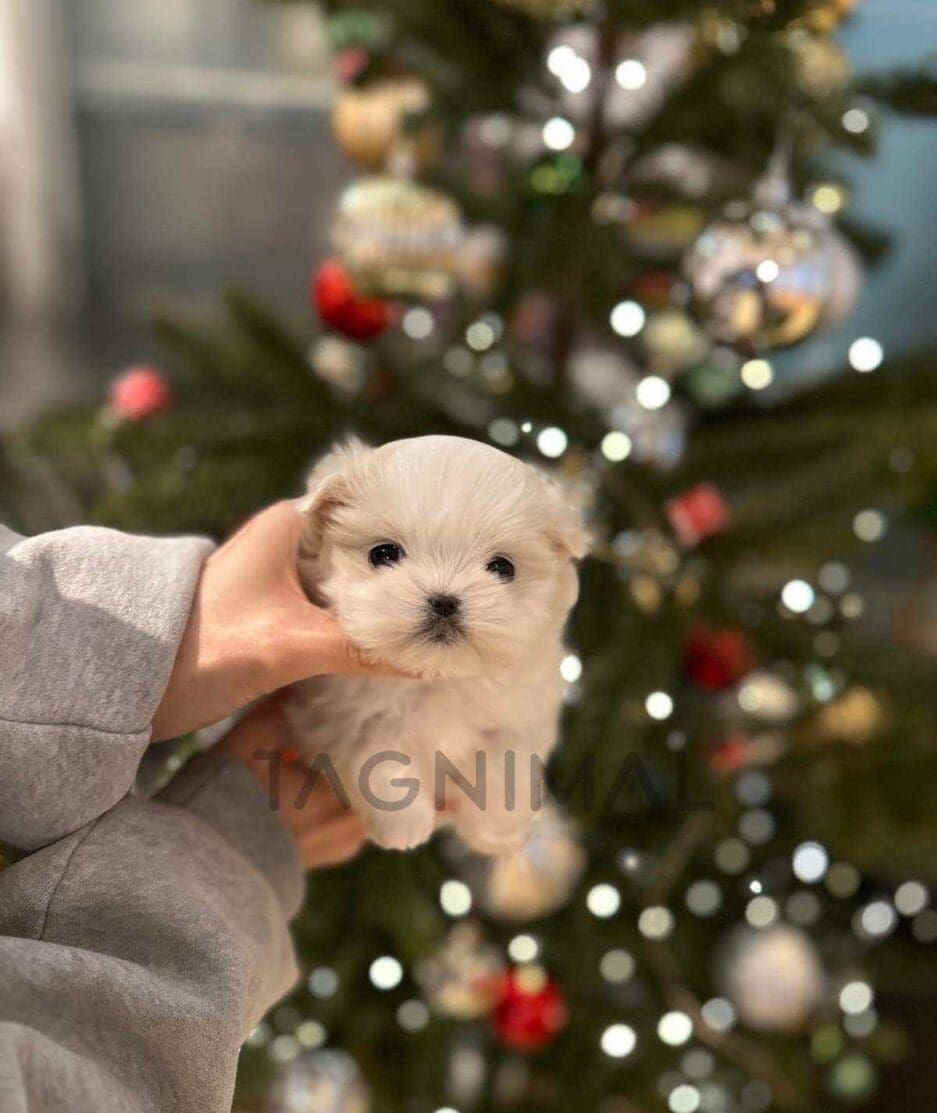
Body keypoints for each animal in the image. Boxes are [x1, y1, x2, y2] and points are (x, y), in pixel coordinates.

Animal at [289, 435, 588, 854]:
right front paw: (404, 825)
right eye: (383, 554)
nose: (445, 601)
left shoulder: (521, 716)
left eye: (503, 567)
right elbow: (380, 762)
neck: (438, 676)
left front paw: (493, 831)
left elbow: (504, 765)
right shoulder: (339, 716)